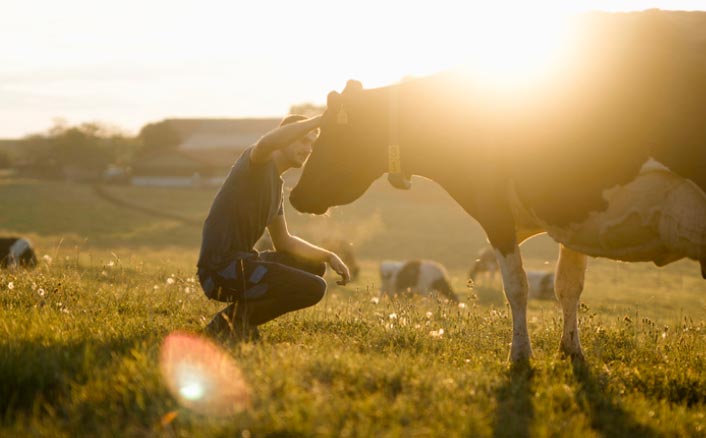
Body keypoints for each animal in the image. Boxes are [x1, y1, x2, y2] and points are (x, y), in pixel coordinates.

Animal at [288, 10, 704, 362]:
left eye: (328, 135)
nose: (295, 194)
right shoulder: (572, 213)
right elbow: (568, 286)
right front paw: (570, 350)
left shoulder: (494, 210)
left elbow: (517, 286)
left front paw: (519, 354)